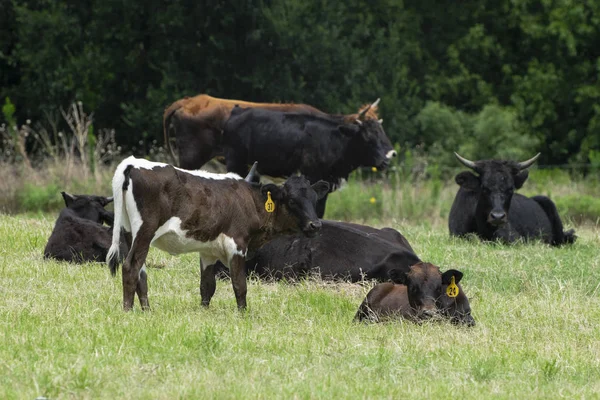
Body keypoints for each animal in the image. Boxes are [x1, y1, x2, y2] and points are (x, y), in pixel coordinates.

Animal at [104, 156, 328, 312]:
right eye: (291, 201)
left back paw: (147, 311)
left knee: (141, 272)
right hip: (145, 230)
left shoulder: (208, 251)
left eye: (314, 198)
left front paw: (204, 312)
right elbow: (239, 284)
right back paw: (128, 311)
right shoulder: (237, 245)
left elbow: (207, 286)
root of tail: (133, 163)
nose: (315, 225)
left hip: (129, 231)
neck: (249, 201)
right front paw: (243, 314)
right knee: (131, 267)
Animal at [223, 101, 396, 217]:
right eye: (367, 136)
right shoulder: (312, 176)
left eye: (381, 131)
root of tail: (237, 111)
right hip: (235, 163)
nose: (387, 159)